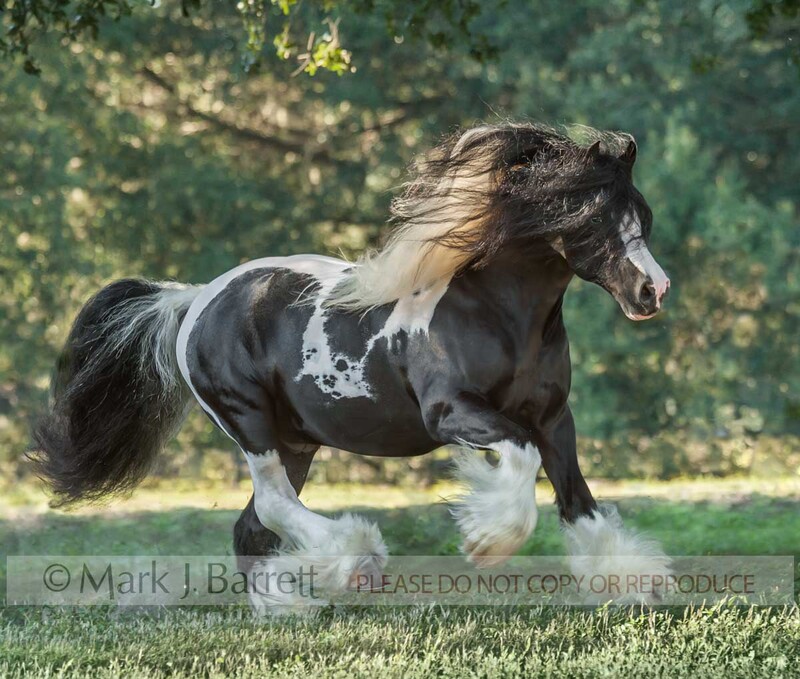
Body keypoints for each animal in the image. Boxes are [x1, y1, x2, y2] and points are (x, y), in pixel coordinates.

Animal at [30, 122, 672, 612]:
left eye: (643, 216)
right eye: (594, 217)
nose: (653, 290)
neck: (495, 311)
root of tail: (193, 301)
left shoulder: (554, 418)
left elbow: (578, 501)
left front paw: (632, 582)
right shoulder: (452, 413)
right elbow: (520, 458)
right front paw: (488, 541)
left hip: (296, 442)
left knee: (254, 524)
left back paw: (287, 605)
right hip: (252, 426)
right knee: (272, 506)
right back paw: (356, 561)